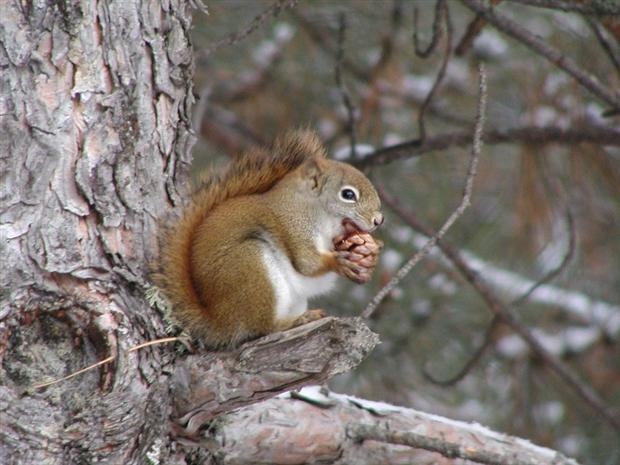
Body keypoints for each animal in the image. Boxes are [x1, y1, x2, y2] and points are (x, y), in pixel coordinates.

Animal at [156, 129, 382, 346]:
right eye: (348, 194)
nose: (379, 220)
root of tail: (219, 320)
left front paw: (369, 256)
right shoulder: (293, 226)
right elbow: (307, 263)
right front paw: (337, 261)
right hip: (251, 268)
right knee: (263, 327)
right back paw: (297, 321)